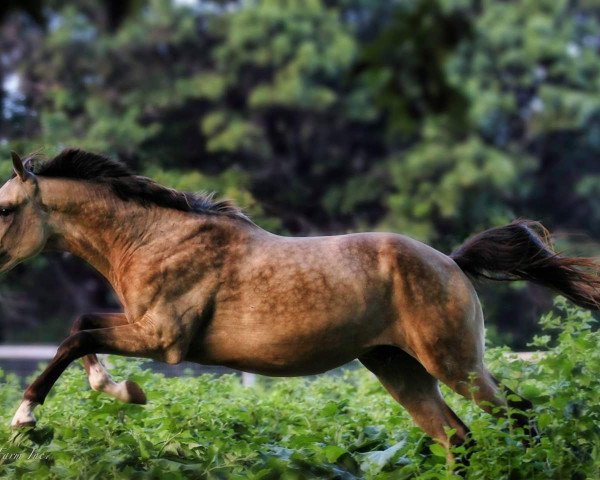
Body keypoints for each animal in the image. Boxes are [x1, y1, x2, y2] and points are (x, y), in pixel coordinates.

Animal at [3, 150, 600, 462]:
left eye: (6, 208)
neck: (154, 238)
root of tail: (451, 262)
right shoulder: (140, 328)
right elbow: (80, 325)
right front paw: (118, 388)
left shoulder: (162, 339)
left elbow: (76, 335)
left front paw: (25, 416)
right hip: (400, 370)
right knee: (459, 439)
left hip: (454, 362)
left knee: (520, 414)